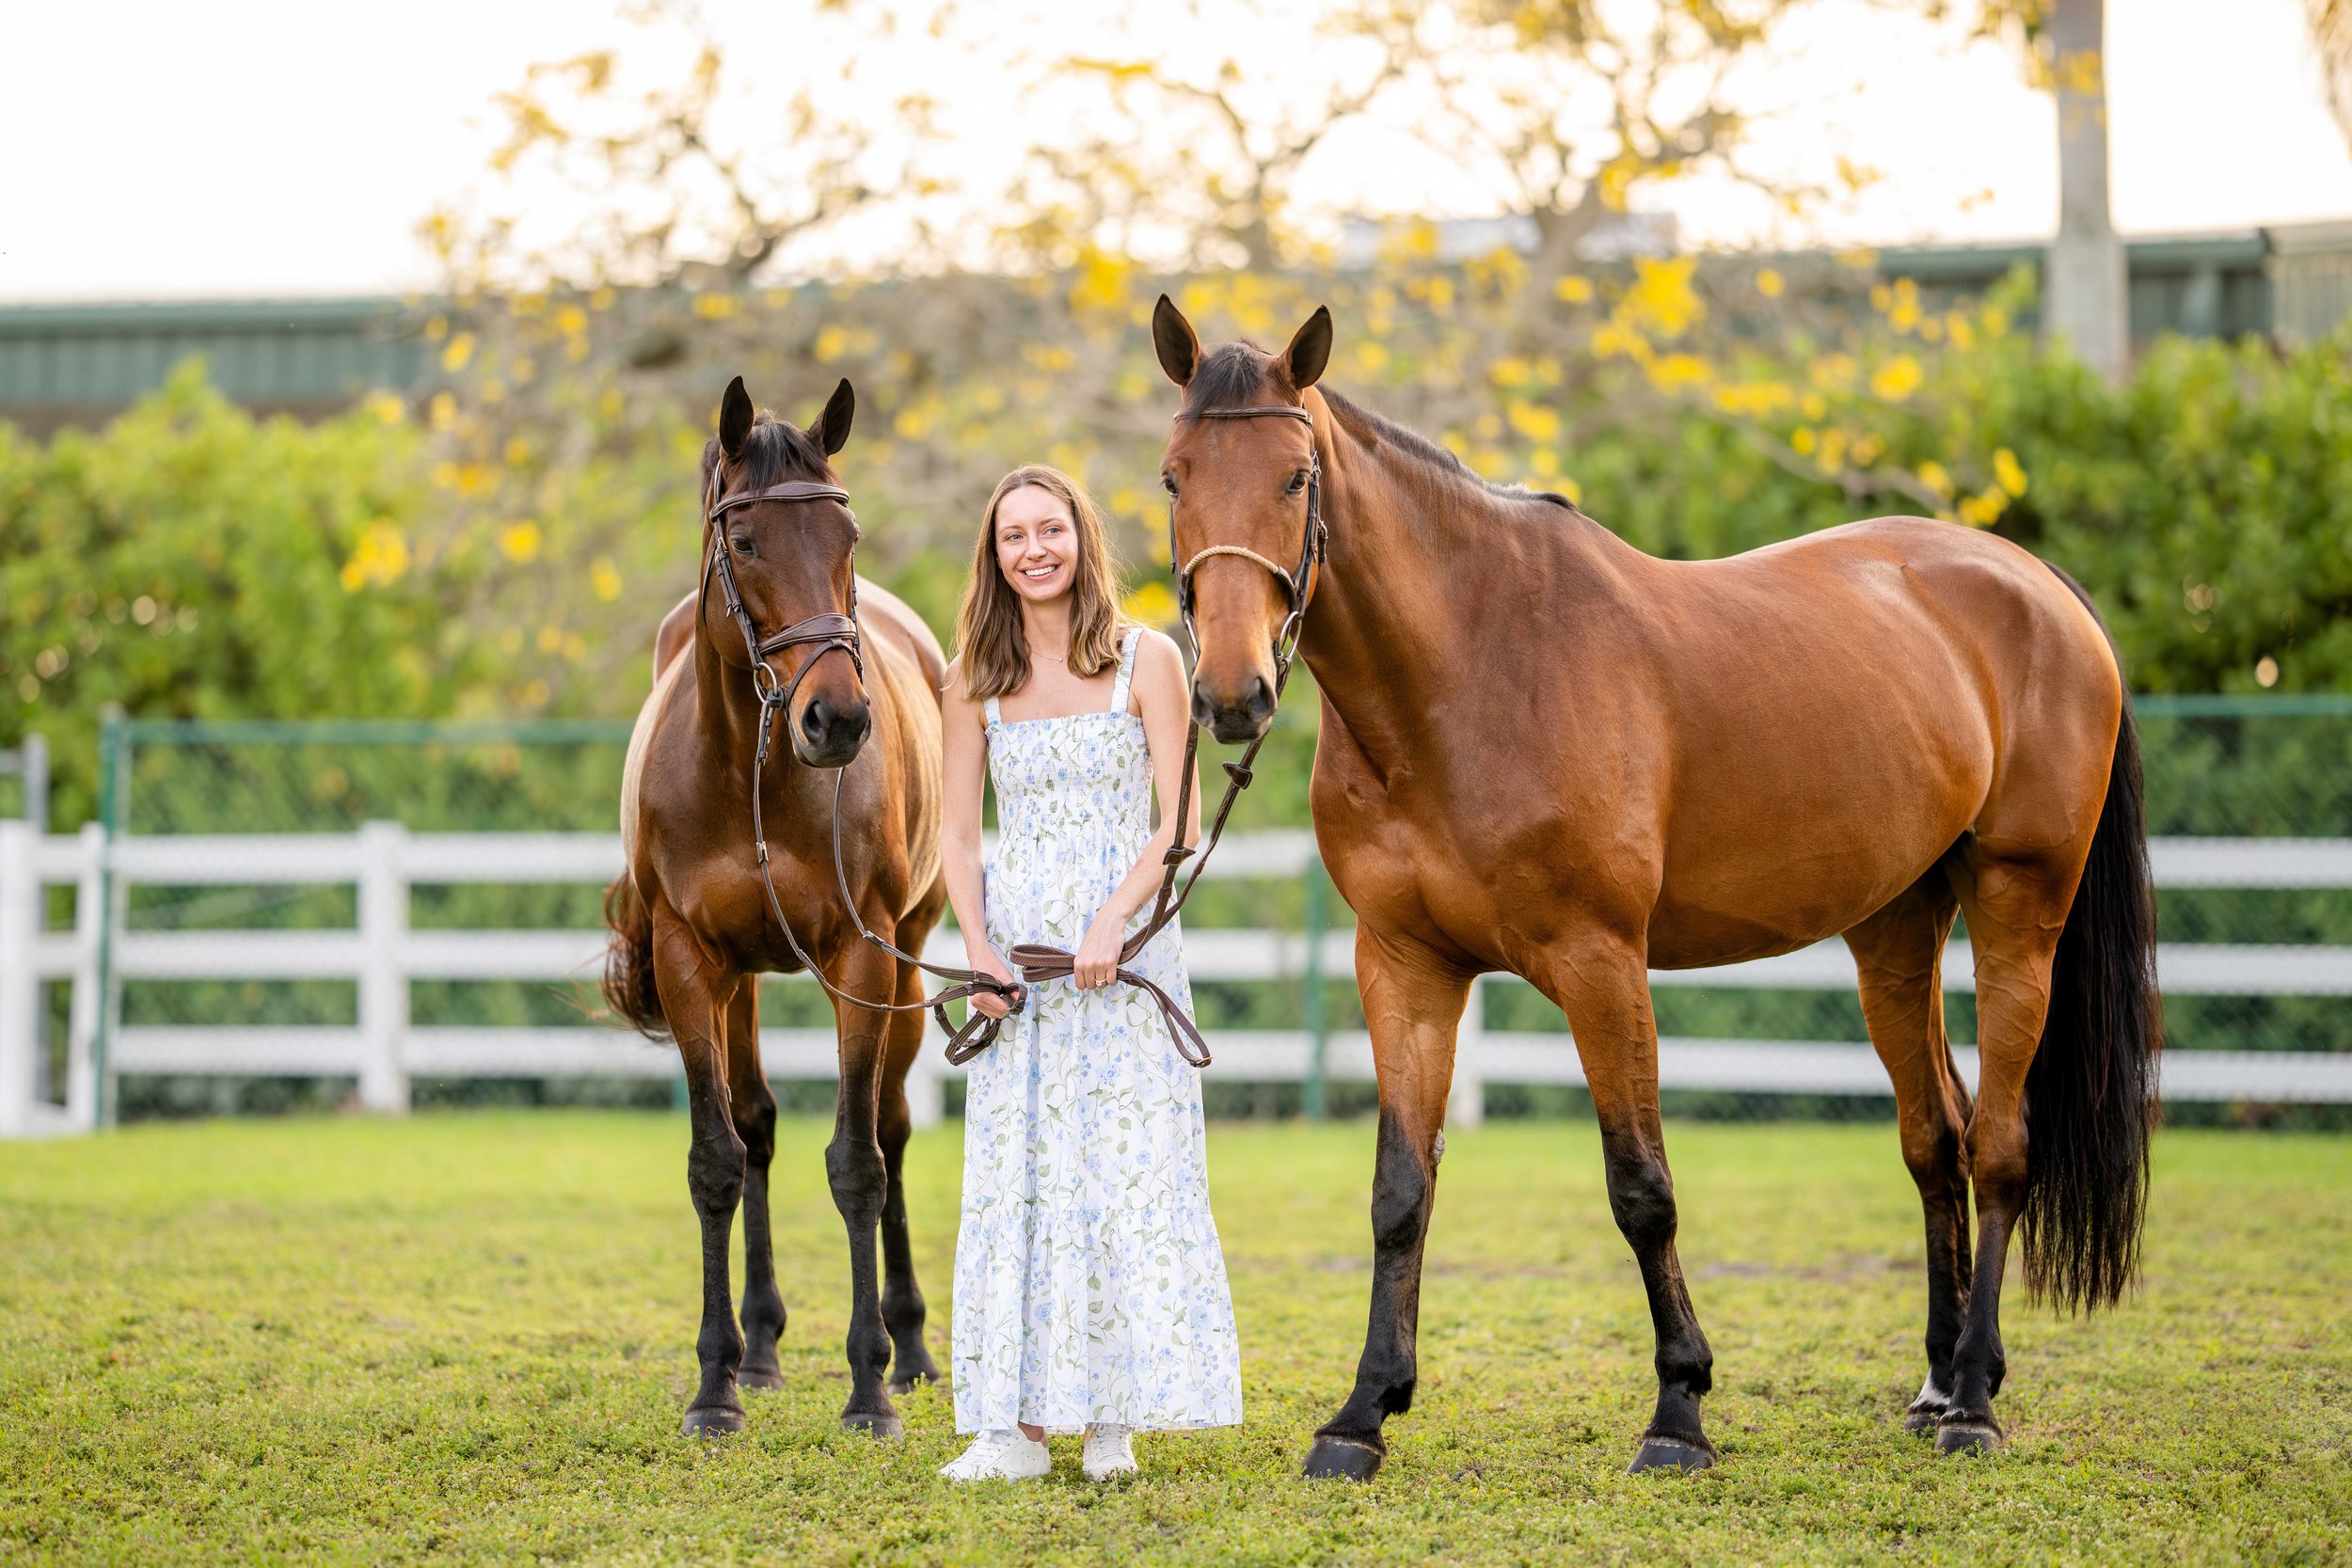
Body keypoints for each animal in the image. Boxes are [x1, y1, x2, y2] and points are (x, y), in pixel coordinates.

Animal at [603, 374, 951, 1438]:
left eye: (847, 539)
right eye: (748, 541)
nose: (836, 718)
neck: (747, 765)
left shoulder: (864, 957)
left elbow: (857, 1162)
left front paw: (869, 1385)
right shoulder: (689, 961)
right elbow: (718, 1157)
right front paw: (716, 1382)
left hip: (908, 960)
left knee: (891, 1127)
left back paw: (912, 1347)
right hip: (741, 979)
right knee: (755, 1125)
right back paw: (758, 1345)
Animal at [1148, 295, 2159, 1478]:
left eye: (1295, 477)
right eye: (1173, 476)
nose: (1232, 692)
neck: (1470, 670)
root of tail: (2038, 585)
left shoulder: (1600, 961)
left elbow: (1642, 1190)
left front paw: (1679, 1409)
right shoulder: (1404, 964)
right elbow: (1402, 1190)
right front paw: (1360, 1414)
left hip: (2017, 907)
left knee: (1997, 1145)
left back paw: (1974, 1405)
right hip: (1894, 929)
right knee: (1935, 1138)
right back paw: (1940, 1379)